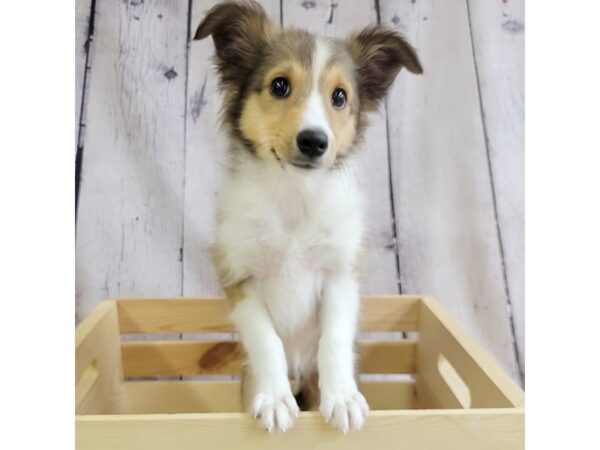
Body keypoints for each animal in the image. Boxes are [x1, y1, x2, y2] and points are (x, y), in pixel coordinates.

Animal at [195, 0, 420, 436]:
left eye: (340, 96)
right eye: (280, 86)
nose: (314, 142)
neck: (294, 198)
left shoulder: (341, 274)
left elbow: (333, 338)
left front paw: (343, 399)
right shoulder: (240, 277)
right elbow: (266, 340)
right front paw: (275, 400)